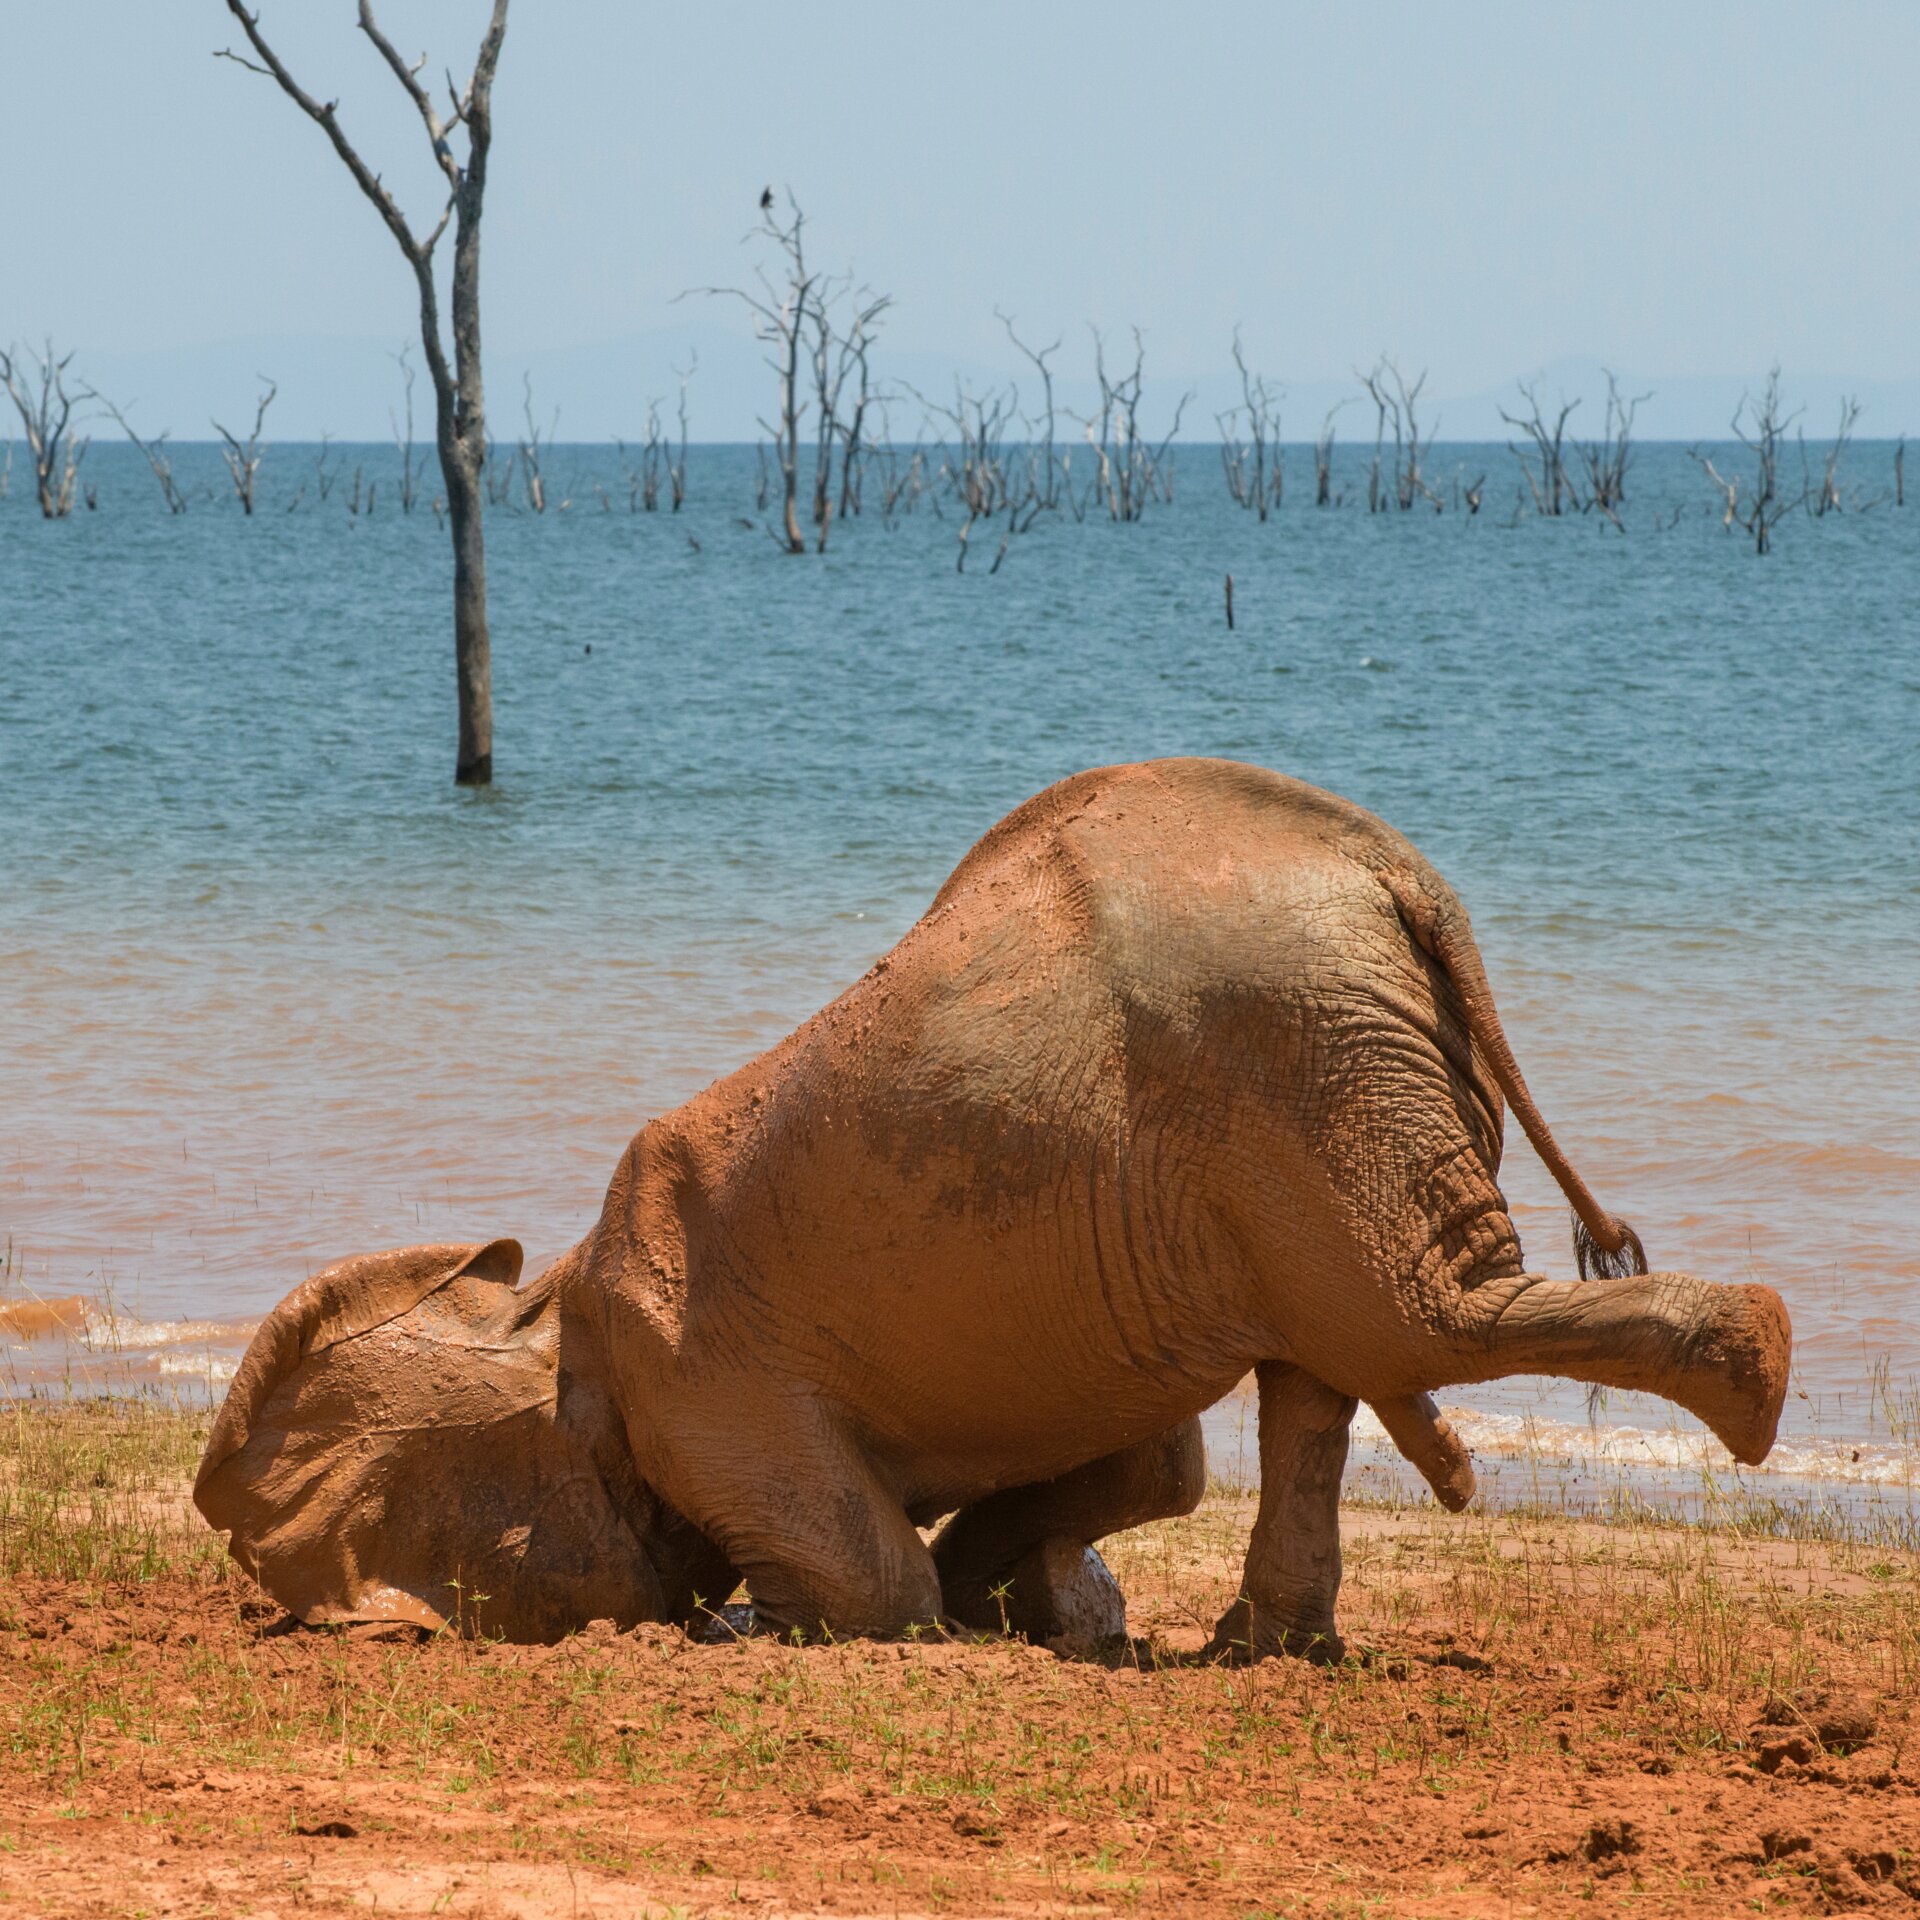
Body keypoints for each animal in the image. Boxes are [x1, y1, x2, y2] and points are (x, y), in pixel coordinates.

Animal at [196, 758, 1790, 1659]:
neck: (550, 1309)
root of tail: (1406, 882)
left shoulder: (700, 1383)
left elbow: (879, 1583)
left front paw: (814, 1617)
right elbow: (1155, 1470)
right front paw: (1028, 1608)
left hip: (1303, 1061)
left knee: (1409, 1325)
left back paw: (1759, 1373)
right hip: (1316, 1088)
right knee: (1328, 1366)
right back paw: (1263, 1648)